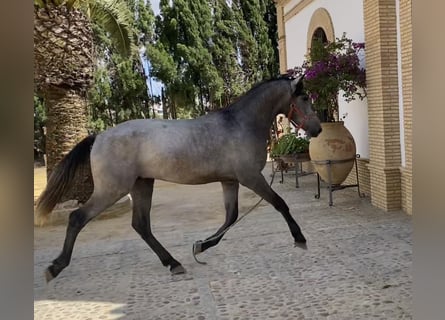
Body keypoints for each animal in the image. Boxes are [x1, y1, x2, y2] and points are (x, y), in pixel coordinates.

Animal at [34, 75, 320, 280]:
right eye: (305, 97)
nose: (317, 129)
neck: (240, 124)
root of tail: (99, 137)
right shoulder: (250, 177)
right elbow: (279, 204)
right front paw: (300, 239)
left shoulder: (230, 180)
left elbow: (231, 217)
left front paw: (200, 247)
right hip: (112, 190)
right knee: (77, 218)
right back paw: (55, 267)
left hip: (141, 185)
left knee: (141, 225)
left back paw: (173, 263)